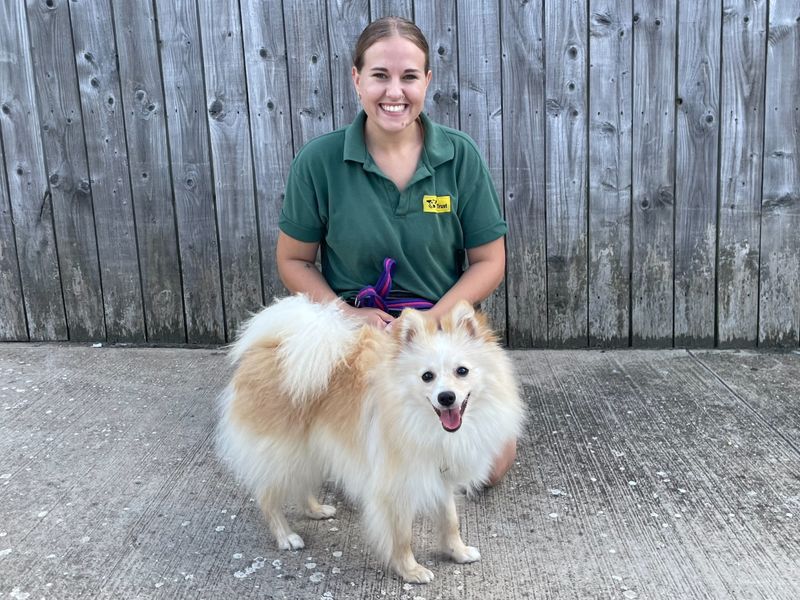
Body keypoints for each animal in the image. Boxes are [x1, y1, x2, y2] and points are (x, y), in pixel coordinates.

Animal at [216, 298, 524, 584]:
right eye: (427, 376)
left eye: (462, 371)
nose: (446, 397)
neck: (423, 421)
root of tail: (273, 342)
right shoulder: (396, 485)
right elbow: (402, 536)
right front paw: (410, 570)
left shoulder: (438, 473)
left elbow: (450, 520)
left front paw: (457, 552)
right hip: (283, 452)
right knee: (268, 497)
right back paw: (286, 536)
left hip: (311, 449)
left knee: (301, 483)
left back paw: (316, 510)